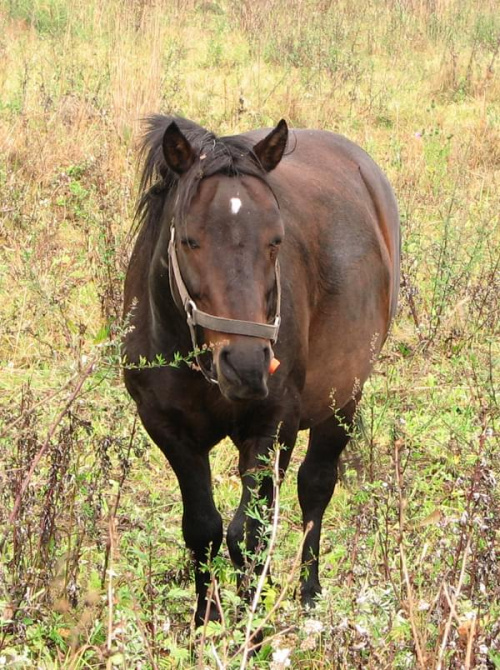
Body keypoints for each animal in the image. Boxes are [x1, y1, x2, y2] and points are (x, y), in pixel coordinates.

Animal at [123, 115, 400, 624]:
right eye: (189, 239)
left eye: (276, 240)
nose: (248, 367)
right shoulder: (168, 429)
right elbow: (203, 528)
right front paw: (205, 622)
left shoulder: (274, 425)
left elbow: (249, 533)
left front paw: (253, 624)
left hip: (343, 399)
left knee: (315, 487)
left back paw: (309, 595)